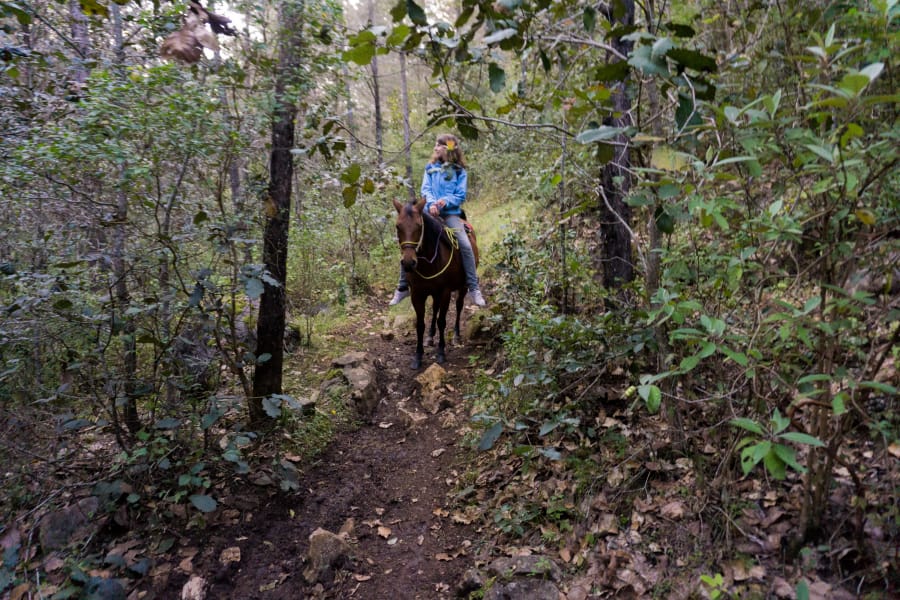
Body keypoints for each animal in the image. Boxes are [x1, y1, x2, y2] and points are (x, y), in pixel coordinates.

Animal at [394, 199, 478, 368]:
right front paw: (418, 356)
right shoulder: (417, 294)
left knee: (458, 306)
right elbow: (420, 324)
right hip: (433, 292)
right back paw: (430, 337)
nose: (408, 263)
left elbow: (442, 321)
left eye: (419, 226)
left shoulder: (445, 292)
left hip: (462, 287)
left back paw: (456, 335)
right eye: (398, 226)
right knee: (434, 309)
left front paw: (441, 352)